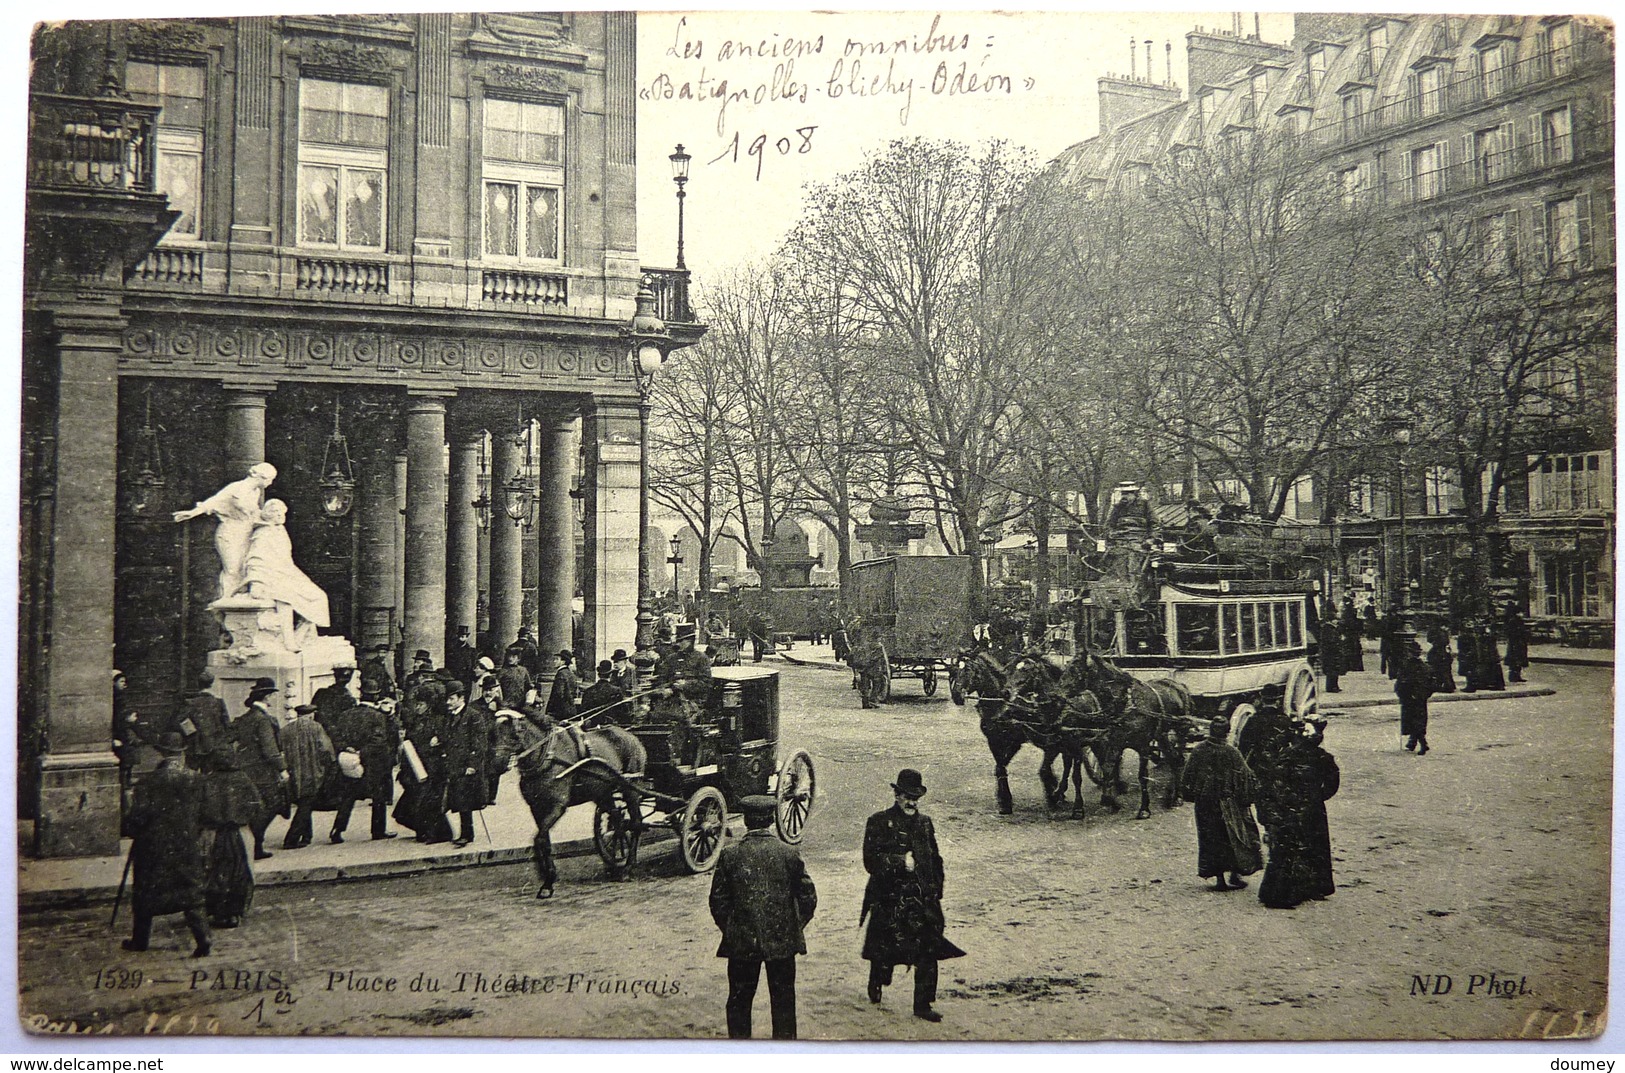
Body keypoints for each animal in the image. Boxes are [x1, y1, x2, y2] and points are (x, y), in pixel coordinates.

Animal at [510, 715, 650, 903]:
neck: (548, 755)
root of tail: (632, 736)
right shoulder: (536, 808)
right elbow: (543, 840)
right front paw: (547, 880)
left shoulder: (557, 806)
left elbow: (540, 839)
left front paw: (548, 878)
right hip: (604, 792)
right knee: (619, 821)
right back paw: (613, 866)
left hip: (631, 787)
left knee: (635, 823)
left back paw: (628, 868)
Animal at [1072, 650, 1202, 816]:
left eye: (1075, 669)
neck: (1127, 703)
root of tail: (1180, 685)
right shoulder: (1115, 742)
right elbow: (1108, 768)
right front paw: (1110, 799)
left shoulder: (1142, 745)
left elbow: (1142, 775)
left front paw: (1144, 808)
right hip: (1162, 735)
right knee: (1175, 759)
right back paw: (1173, 795)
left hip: (1181, 731)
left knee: (1178, 759)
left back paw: (1176, 796)